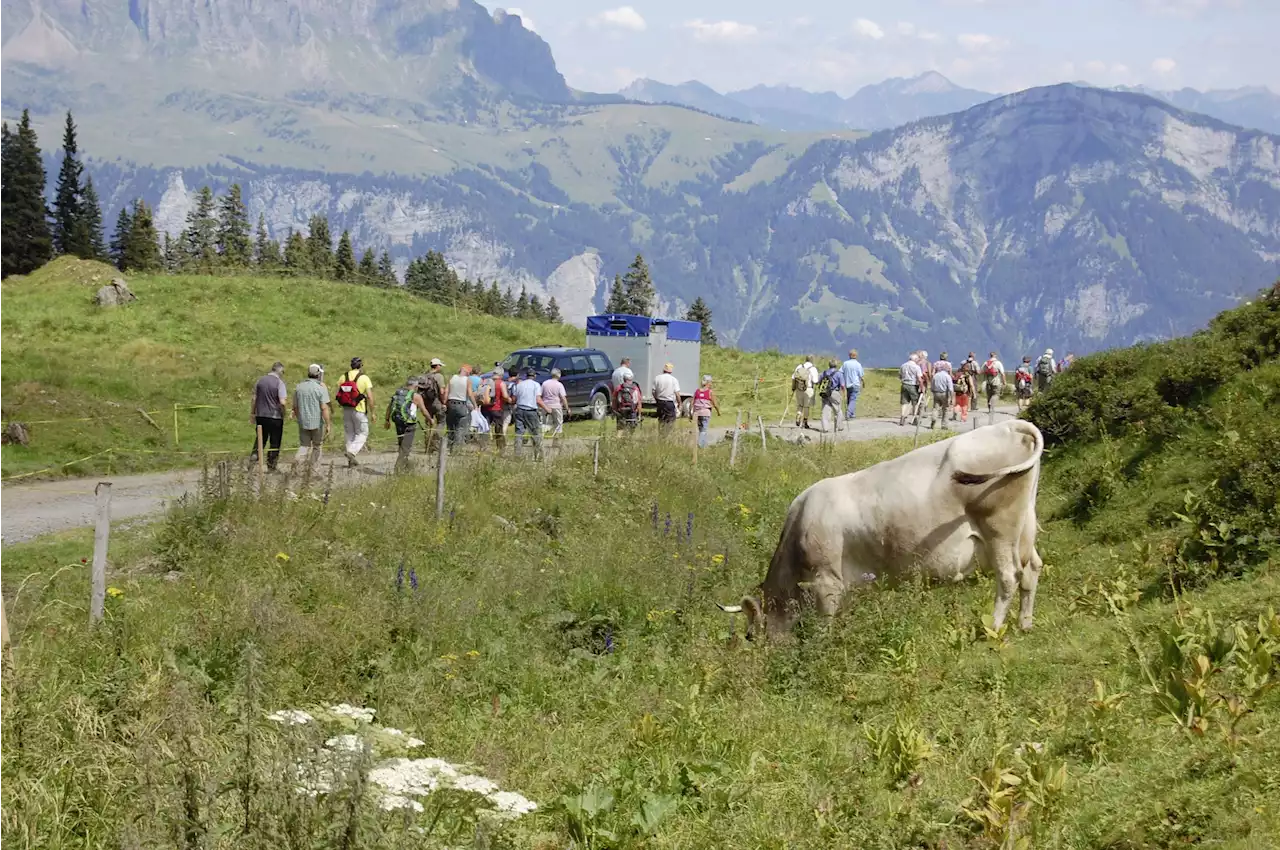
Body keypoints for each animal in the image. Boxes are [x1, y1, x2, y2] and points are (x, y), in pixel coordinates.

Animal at [716, 417, 1044, 637]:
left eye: (750, 634)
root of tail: (1011, 425)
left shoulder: (827, 582)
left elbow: (825, 625)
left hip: (999, 529)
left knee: (1009, 577)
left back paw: (992, 630)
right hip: (1025, 529)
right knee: (1032, 570)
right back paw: (1025, 624)